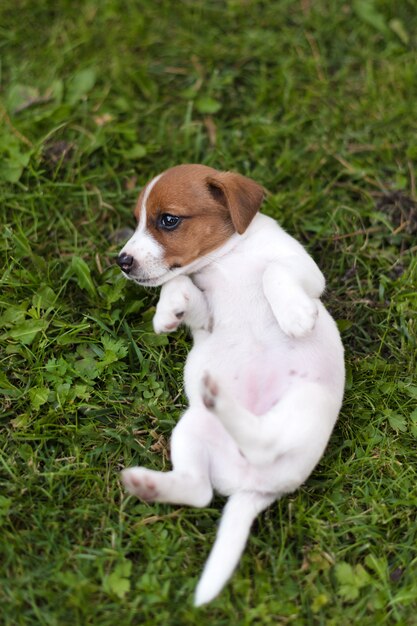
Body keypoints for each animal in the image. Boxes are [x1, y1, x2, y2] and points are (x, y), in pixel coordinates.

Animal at [117, 162, 344, 604]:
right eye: (137, 220)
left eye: (167, 220)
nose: (122, 261)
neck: (227, 259)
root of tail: (252, 489)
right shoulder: (204, 313)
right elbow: (178, 285)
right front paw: (166, 312)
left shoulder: (304, 268)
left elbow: (274, 271)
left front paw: (294, 315)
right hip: (192, 429)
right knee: (200, 490)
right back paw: (149, 482)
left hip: (306, 402)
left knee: (263, 443)